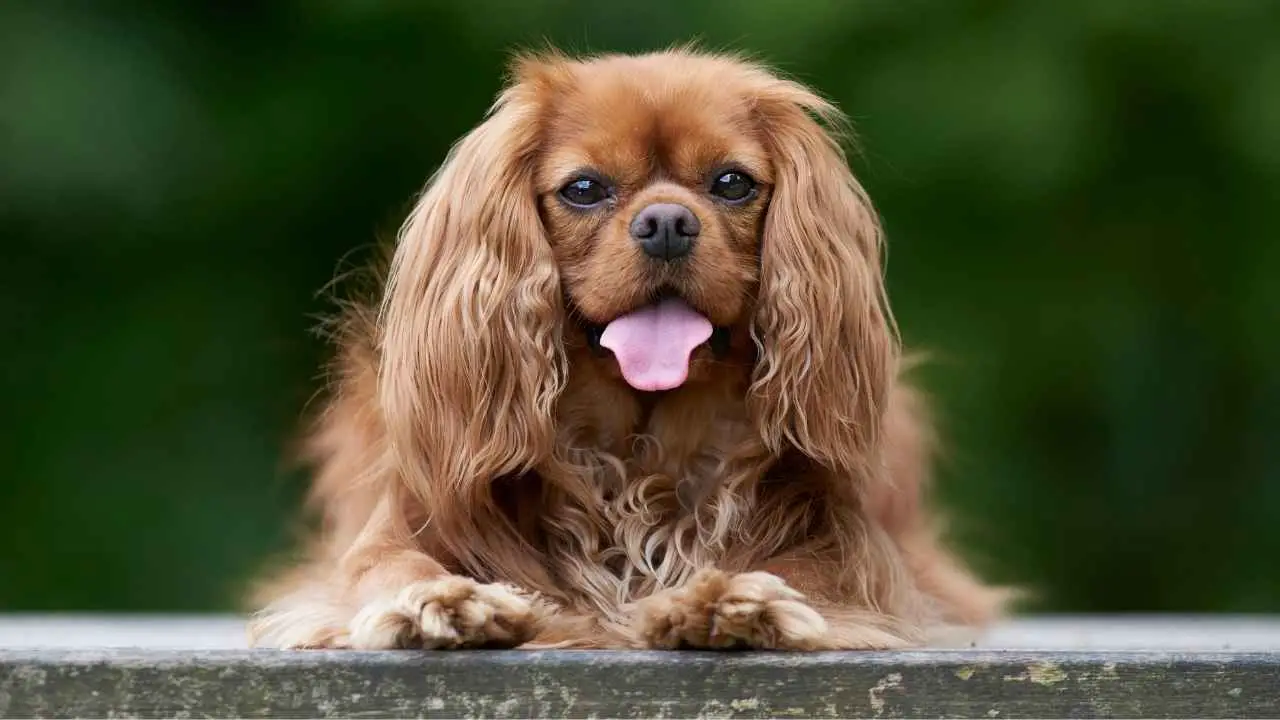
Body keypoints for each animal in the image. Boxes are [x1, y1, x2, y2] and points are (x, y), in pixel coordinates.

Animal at [249, 46, 1003, 650]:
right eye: (585, 188)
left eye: (732, 182)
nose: (666, 222)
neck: (638, 452)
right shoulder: (393, 533)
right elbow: (386, 568)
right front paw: (440, 601)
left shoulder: (855, 552)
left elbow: (812, 573)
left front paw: (733, 599)